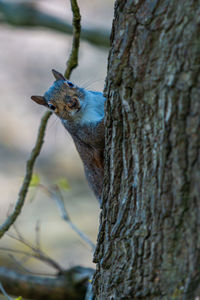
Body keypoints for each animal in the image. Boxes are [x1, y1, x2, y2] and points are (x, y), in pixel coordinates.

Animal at [30, 69, 106, 203]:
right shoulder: (80, 131)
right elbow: (95, 136)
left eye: (70, 83)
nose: (72, 103)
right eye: (52, 107)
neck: (87, 108)